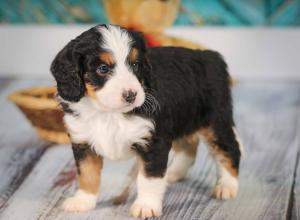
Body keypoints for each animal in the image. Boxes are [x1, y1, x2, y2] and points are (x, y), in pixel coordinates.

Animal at [50, 24, 243, 218]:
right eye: (103, 68)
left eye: (135, 65)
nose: (131, 95)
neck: (109, 114)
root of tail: (210, 56)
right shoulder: (83, 140)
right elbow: (87, 173)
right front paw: (83, 200)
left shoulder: (153, 141)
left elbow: (149, 178)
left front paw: (146, 205)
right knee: (188, 146)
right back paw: (174, 173)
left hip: (215, 121)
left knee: (230, 149)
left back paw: (227, 186)